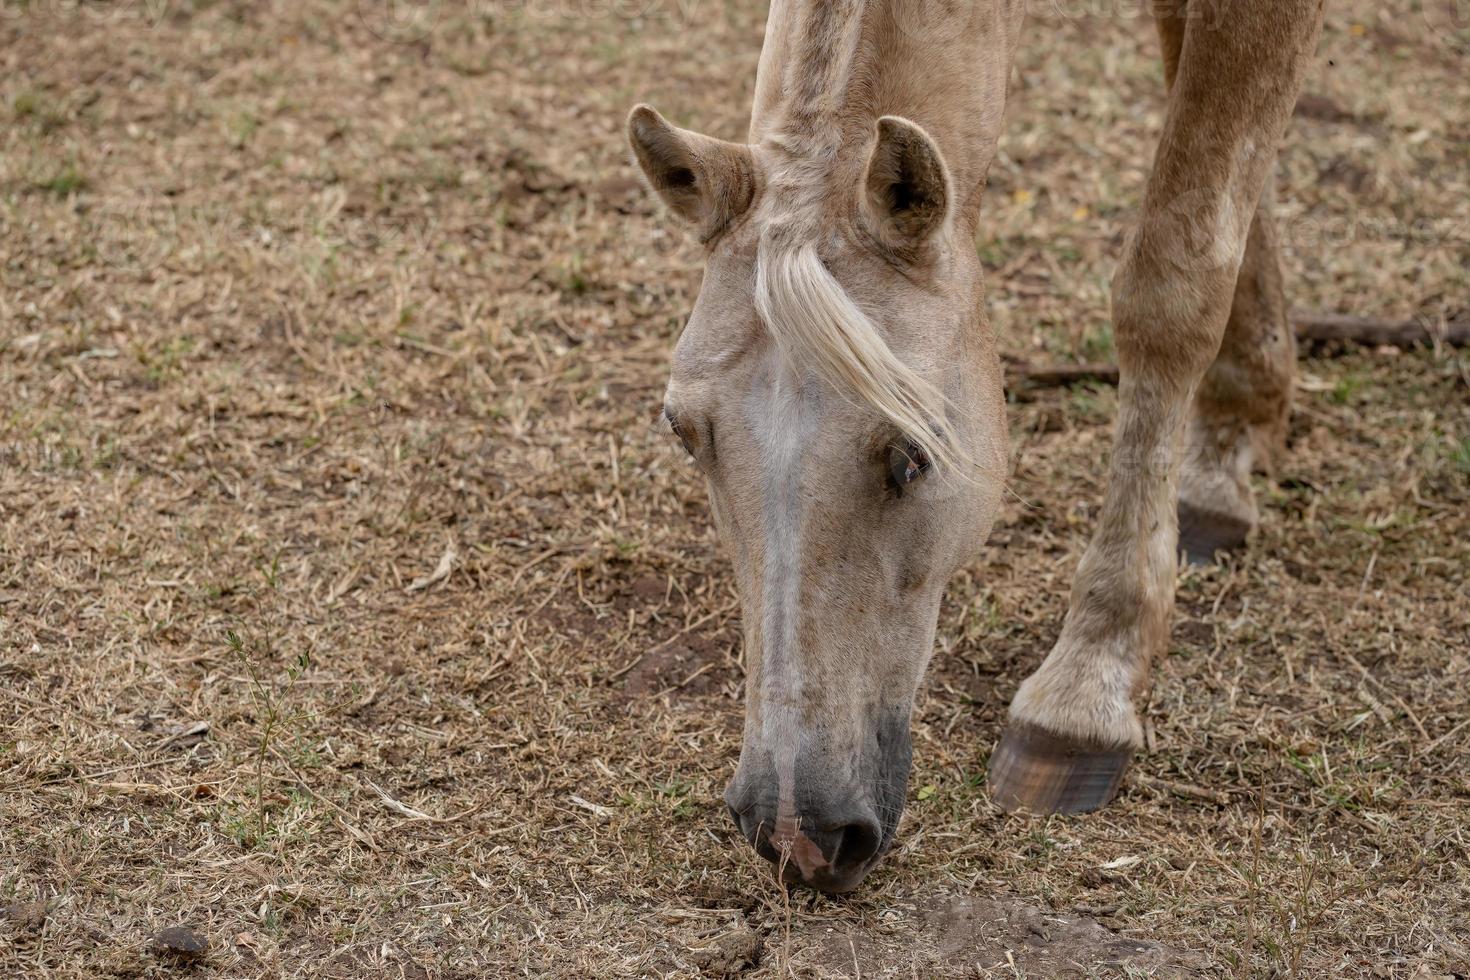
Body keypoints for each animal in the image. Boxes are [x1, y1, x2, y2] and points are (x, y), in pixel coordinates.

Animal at [620, 0, 1323, 893]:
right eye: (685, 436)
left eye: (912, 457)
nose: (796, 832)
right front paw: (1231, 437)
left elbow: (1176, 277)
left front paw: (1090, 682)